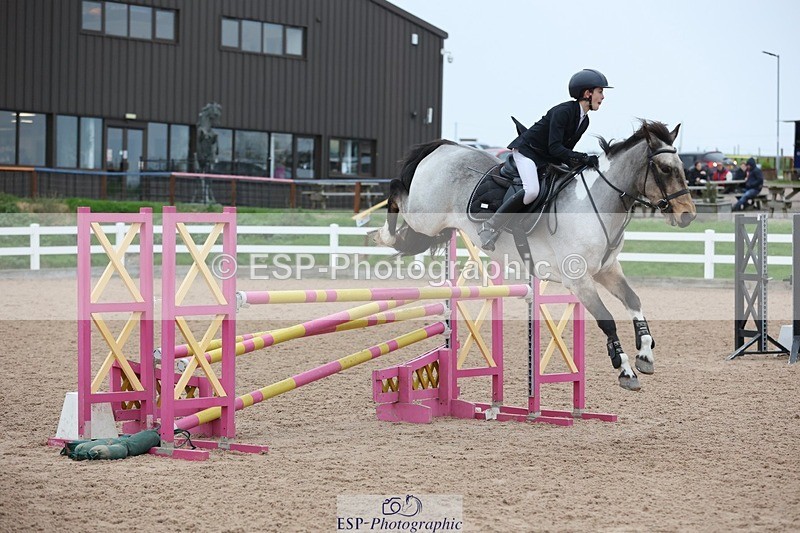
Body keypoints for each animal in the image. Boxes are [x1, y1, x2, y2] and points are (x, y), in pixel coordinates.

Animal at [373, 120, 696, 391]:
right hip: (424, 215)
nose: (688, 216)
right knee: (396, 191)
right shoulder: (579, 280)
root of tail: (444, 147)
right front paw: (625, 369)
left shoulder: (607, 270)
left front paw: (645, 354)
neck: (597, 204)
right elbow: (607, 321)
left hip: (432, 225)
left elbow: (633, 301)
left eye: (681, 166)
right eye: (665, 169)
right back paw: (380, 234)